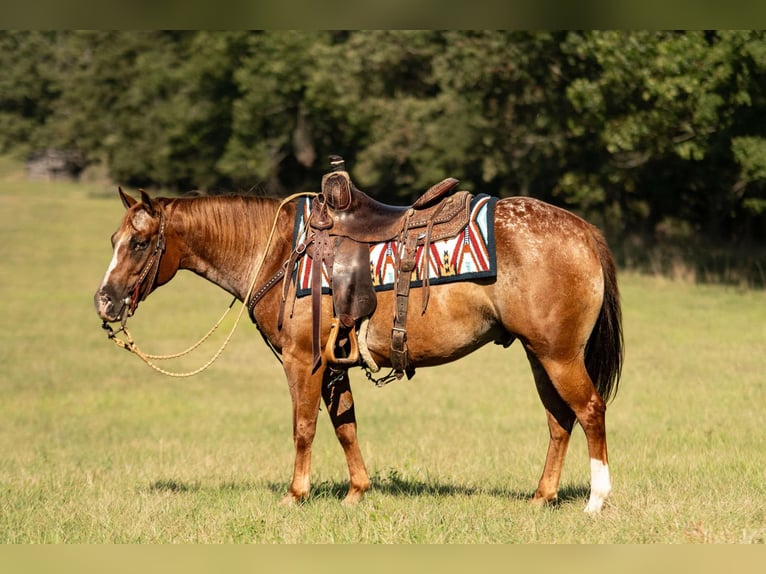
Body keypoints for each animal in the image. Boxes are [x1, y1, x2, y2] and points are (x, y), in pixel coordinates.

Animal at [94, 187, 624, 516]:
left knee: (590, 410)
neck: (281, 252)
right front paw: (356, 492)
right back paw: (541, 496)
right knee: (559, 420)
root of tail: (582, 230)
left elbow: (304, 428)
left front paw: (296, 494)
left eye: (140, 242)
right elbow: (344, 425)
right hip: (540, 354)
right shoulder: (334, 365)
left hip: (559, 355)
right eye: (114, 239)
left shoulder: (303, 360)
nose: (105, 300)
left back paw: (596, 500)